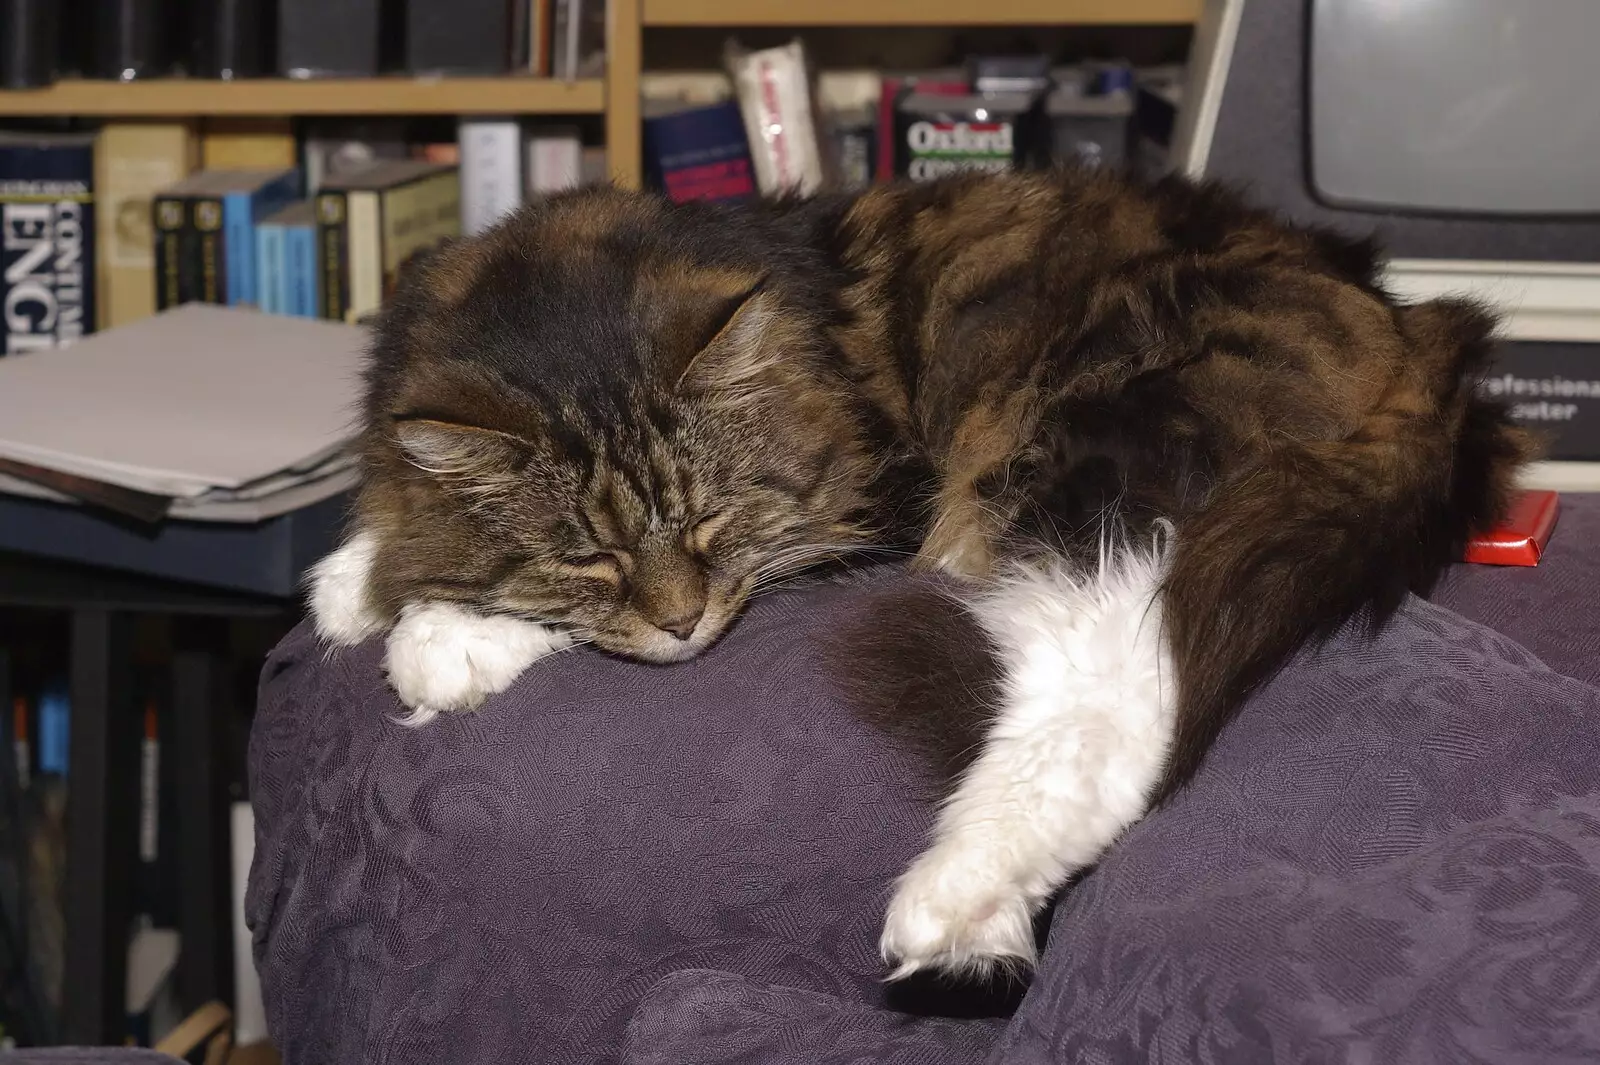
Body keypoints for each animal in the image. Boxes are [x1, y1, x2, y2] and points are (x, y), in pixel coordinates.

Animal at [308, 163, 1523, 978]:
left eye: (709, 523)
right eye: (592, 554)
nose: (682, 624)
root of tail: (1413, 322)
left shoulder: (873, 509)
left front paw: (438, 634)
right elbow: (387, 517)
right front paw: (350, 580)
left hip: (1080, 453)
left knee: (1126, 689)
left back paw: (958, 902)